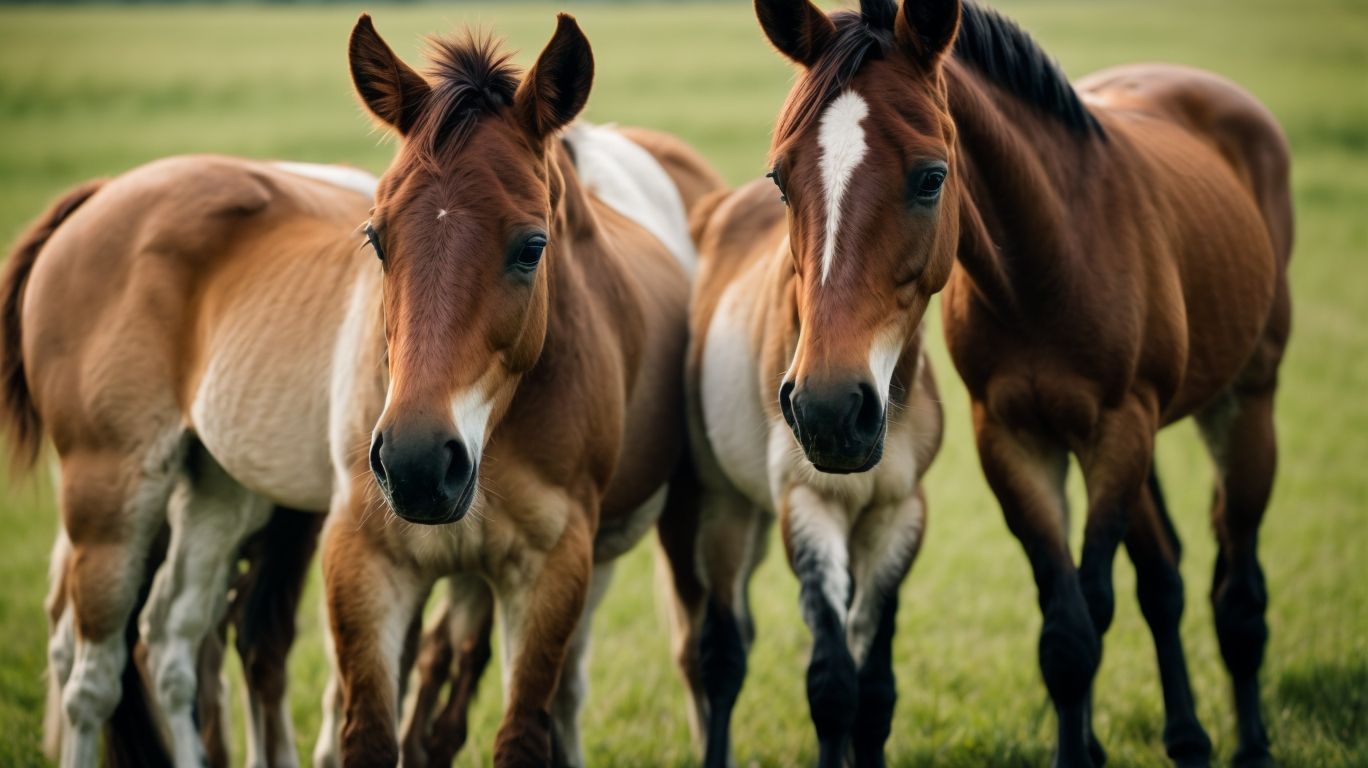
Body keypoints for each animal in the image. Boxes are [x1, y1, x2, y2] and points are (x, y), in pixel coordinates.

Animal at [315, 13, 723, 767]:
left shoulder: (552, 569)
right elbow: (376, 733)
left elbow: (524, 729)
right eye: (376, 238)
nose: (417, 462)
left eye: (532, 247)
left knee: (689, 653)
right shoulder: (366, 557)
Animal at [747, 0, 1292, 766]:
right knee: (1163, 579)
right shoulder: (1011, 439)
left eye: (931, 177)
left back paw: (1249, 742)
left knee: (1237, 587)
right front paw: (1085, 746)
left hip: (1244, 404)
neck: (1053, 262)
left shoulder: (1118, 429)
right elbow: (1066, 633)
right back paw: (1186, 736)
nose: (827, 409)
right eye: (779, 179)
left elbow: (1090, 613)